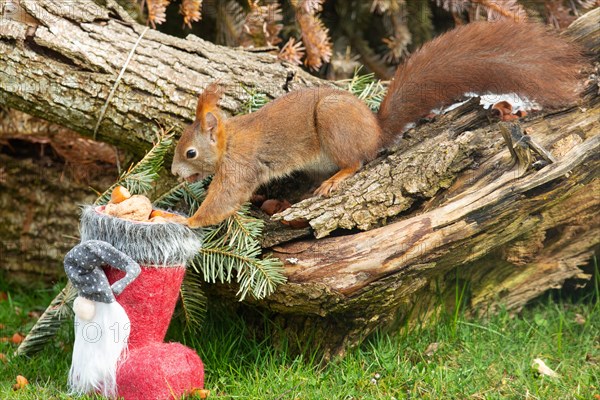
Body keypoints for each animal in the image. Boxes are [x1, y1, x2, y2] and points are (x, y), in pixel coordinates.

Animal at [171, 20, 584, 228]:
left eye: (190, 152)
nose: (174, 173)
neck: (228, 139)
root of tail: (375, 131)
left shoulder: (240, 166)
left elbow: (224, 199)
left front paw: (185, 221)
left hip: (335, 126)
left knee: (356, 161)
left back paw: (336, 179)